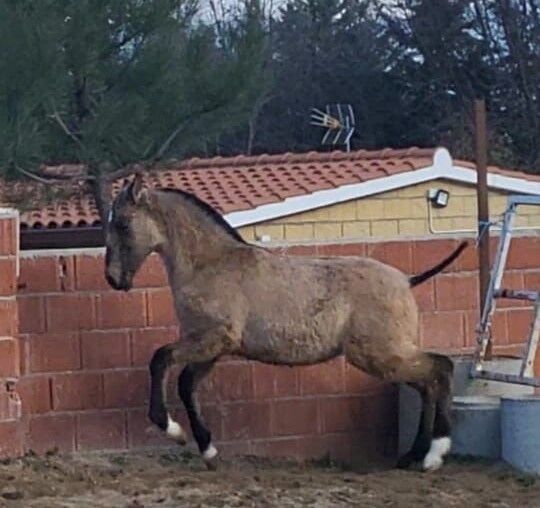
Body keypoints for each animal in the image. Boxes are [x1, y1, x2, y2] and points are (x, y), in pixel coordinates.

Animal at [105, 175, 468, 472]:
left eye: (121, 223)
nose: (113, 279)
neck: (210, 264)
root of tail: (406, 280)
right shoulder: (211, 348)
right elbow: (186, 384)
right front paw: (207, 451)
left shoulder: (211, 338)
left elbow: (161, 359)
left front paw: (172, 430)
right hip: (389, 356)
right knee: (427, 383)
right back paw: (412, 456)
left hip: (380, 355)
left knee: (440, 369)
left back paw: (435, 455)